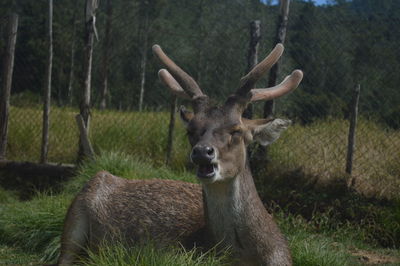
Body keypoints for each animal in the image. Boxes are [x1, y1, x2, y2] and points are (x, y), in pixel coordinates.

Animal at [54, 42, 302, 264]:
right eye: (191, 130)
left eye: (236, 130)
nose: (202, 152)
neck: (247, 256)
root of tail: (100, 175)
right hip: (73, 223)